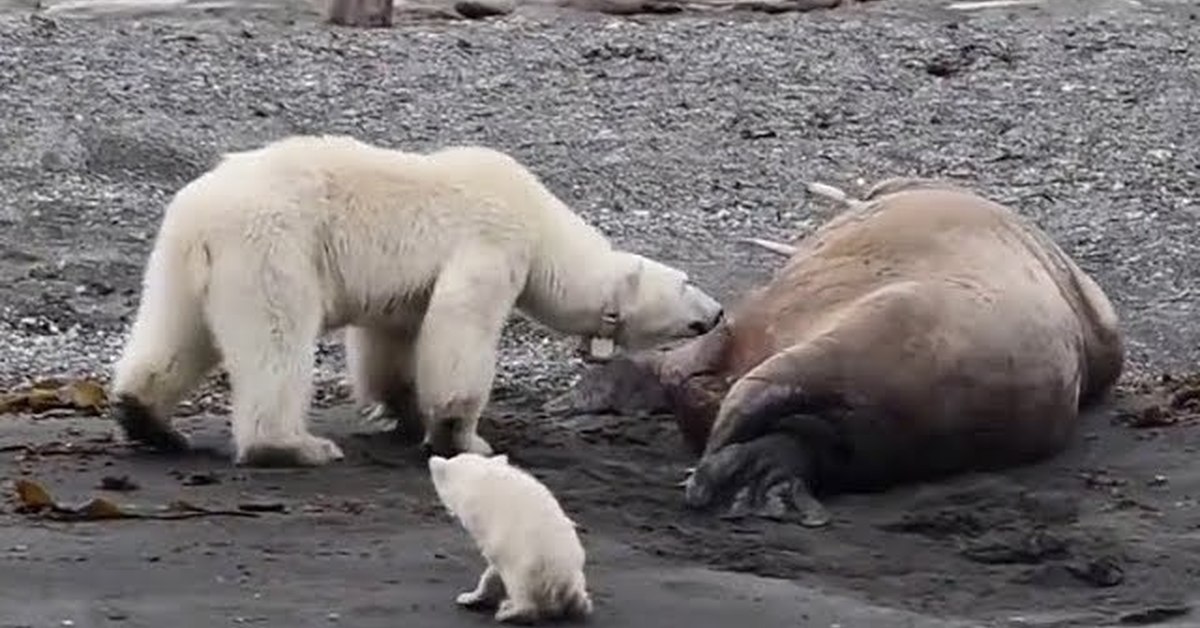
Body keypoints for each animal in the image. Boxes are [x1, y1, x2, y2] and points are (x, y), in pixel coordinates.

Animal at [110, 133, 720, 465]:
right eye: (688, 282)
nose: (716, 314)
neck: (543, 224)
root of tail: (202, 215)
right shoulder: (494, 239)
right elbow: (461, 325)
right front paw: (463, 437)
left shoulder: (403, 293)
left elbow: (393, 340)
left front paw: (403, 412)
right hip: (272, 245)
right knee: (278, 338)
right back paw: (293, 445)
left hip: (179, 258)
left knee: (176, 332)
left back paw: (148, 419)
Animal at [429, 451, 592, 624]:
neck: (482, 475)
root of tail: (563, 583)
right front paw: (471, 596)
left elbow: (492, 559)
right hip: (573, 575)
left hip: (529, 567)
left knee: (521, 591)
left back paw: (508, 612)